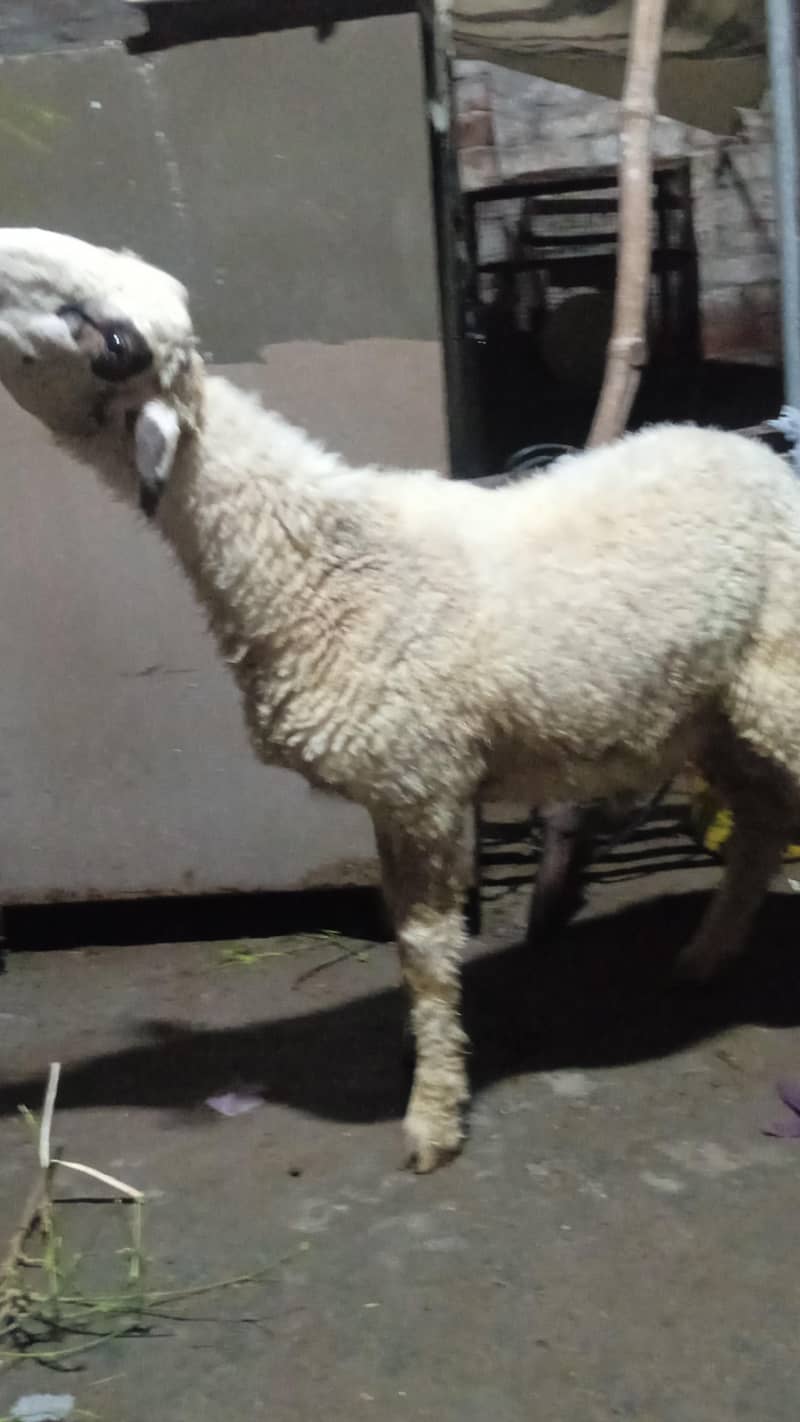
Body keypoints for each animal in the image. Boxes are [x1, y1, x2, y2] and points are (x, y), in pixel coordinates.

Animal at [2, 227, 800, 1173]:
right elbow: (405, 940)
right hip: (713, 707)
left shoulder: (423, 783)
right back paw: (707, 954)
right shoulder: (393, 788)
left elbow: (424, 947)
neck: (317, 563)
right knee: (761, 820)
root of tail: (749, 449)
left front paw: (433, 1115)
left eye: (105, 336)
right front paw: (423, 1050)